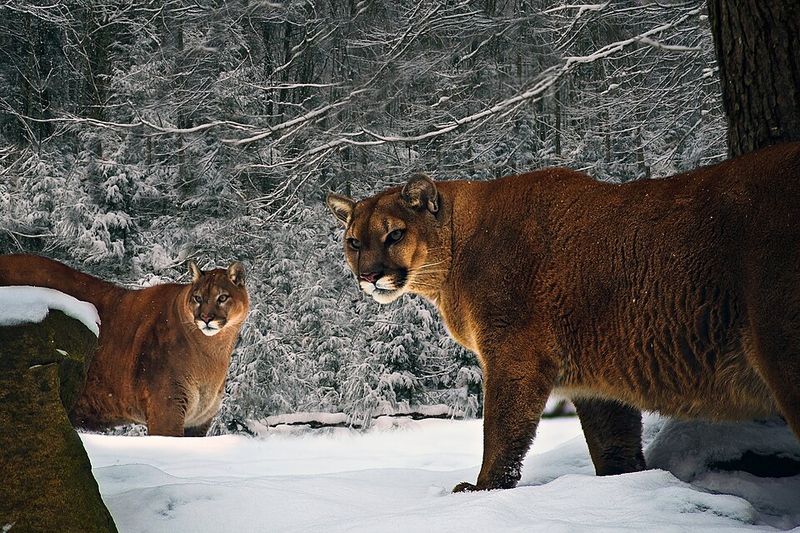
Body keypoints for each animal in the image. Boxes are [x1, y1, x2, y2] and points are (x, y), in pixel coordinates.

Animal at [0, 254, 249, 436]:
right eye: (198, 298)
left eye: (222, 298)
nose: (206, 318)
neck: (212, 351)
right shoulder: (166, 409)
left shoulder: (198, 422)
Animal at [326, 142, 800, 491]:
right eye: (353, 241)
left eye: (394, 234)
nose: (368, 275)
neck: (456, 250)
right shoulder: (601, 380)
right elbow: (614, 448)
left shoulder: (514, 354)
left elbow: (501, 428)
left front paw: (482, 489)